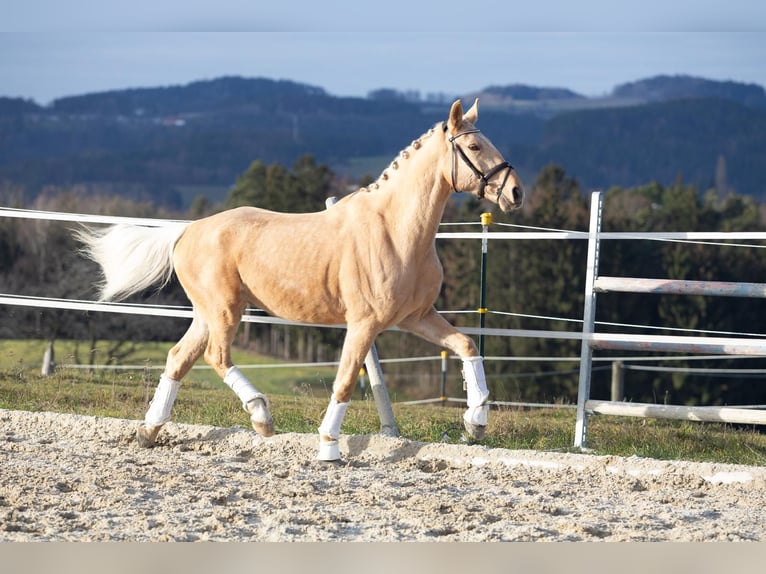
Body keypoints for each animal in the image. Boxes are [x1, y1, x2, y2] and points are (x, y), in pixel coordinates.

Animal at [76, 100, 520, 464]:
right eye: (474, 147)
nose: (515, 192)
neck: (396, 231)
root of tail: (187, 231)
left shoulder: (416, 317)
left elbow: (467, 345)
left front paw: (476, 423)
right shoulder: (364, 324)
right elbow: (345, 382)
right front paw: (328, 448)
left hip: (207, 313)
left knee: (178, 358)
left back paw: (149, 431)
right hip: (225, 310)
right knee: (216, 357)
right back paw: (261, 417)